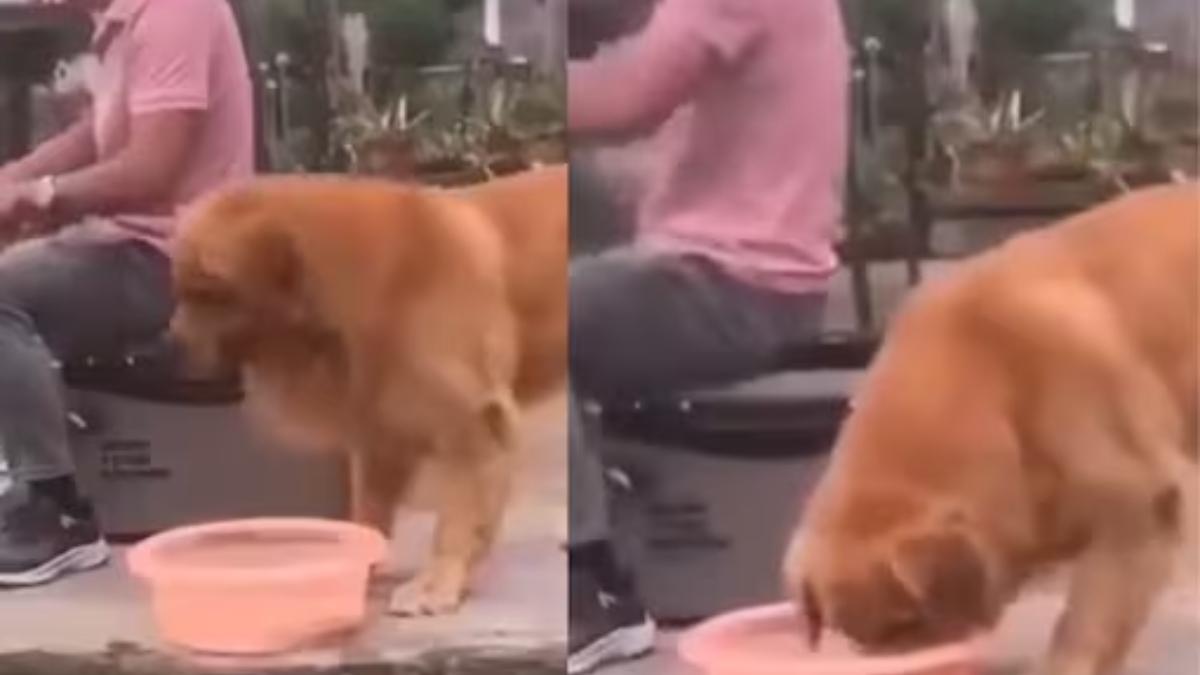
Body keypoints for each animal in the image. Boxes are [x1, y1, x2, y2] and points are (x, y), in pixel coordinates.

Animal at [166, 164, 568, 614]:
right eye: (180, 291)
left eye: (211, 294)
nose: (167, 346)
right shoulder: (381, 424)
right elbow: (369, 509)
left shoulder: (474, 421)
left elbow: (457, 517)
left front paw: (436, 584)